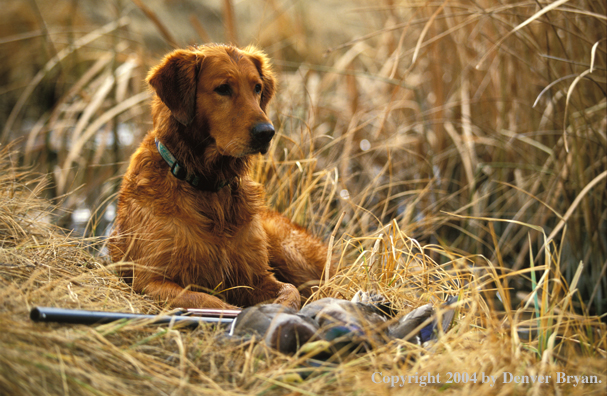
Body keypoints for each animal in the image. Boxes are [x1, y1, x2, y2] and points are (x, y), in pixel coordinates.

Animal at [107, 43, 330, 310]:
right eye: (223, 88)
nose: (267, 133)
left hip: (285, 246)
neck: (209, 184)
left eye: (257, 88)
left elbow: (290, 292)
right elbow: (208, 301)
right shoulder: (150, 280)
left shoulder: (255, 276)